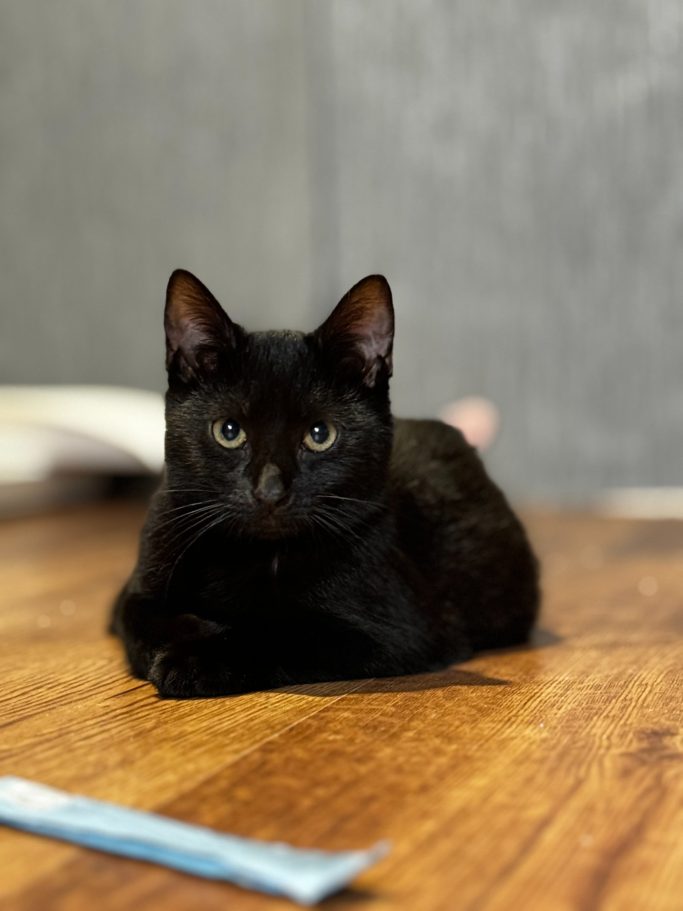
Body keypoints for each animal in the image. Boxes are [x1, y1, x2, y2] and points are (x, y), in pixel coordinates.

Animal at [112, 270, 540, 700]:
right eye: (228, 431)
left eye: (320, 435)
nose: (270, 490)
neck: (249, 556)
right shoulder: (139, 584)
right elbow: (139, 620)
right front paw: (189, 639)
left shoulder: (398, 630)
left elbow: (277, 631)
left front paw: (195, 660)